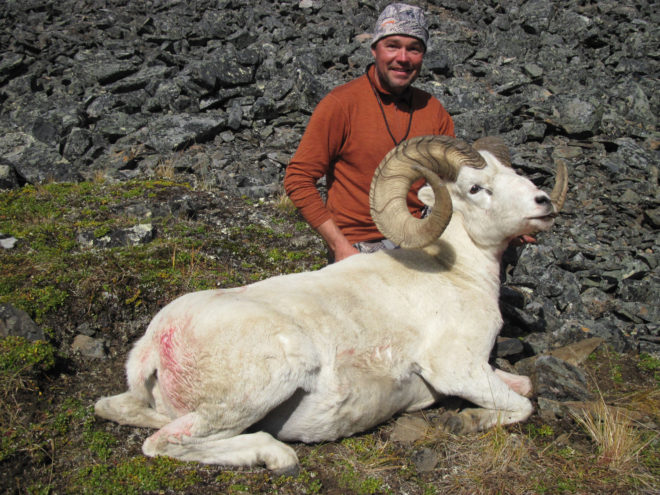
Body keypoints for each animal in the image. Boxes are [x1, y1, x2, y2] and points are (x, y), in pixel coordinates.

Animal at [95, 135, 568, 472]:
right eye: (476, 188)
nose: (543, 203)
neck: (457, 272)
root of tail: (159, 341)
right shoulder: (457, 370)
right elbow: (524, 405)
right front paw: (464, 421)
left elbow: (526, 388)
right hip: (261, 388)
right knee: (164, 442)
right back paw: (275, 455)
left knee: (115, 409)